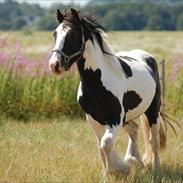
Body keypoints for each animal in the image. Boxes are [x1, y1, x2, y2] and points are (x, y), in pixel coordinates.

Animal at [48, 8, 167, 176]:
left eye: (73, 34)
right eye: (55, 34)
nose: (54, 65)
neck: (98, 84)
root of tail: (147, 57)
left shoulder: (115, 119)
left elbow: (106, 144)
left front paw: (117, 168)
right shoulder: (93, 119)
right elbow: (100, 147)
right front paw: (108, 173)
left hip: (152, 111)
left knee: (153, 141)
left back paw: (155, 167)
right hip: (128, 117)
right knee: (134, 131)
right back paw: (134, 160)